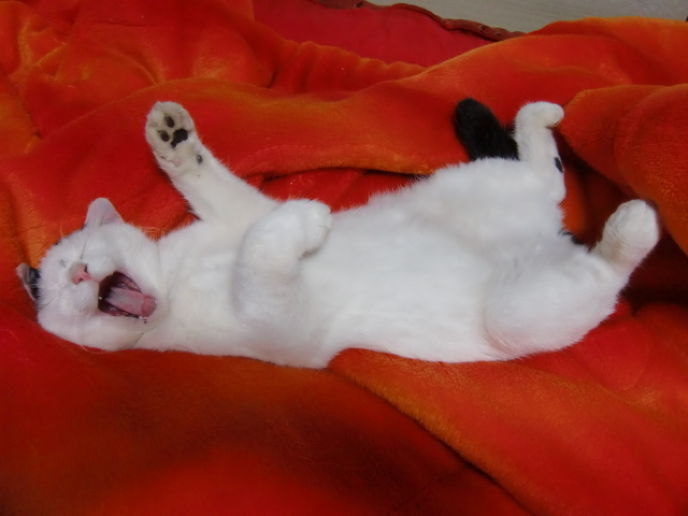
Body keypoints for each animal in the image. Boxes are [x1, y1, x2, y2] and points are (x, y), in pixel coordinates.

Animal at [17, 99, 660, 367]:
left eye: (82, 253)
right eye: (58, 284)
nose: (80, 271)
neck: (173, 281)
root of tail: (548, 235)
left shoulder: (240, 212)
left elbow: (213, 185)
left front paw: (173, 139)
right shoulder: (282, 323)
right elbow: (261, 252)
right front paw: (310, 220)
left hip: (482, 183)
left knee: (545, 173)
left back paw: (548, 117)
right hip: (519, 314)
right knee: (606, 263)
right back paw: (634, 219)